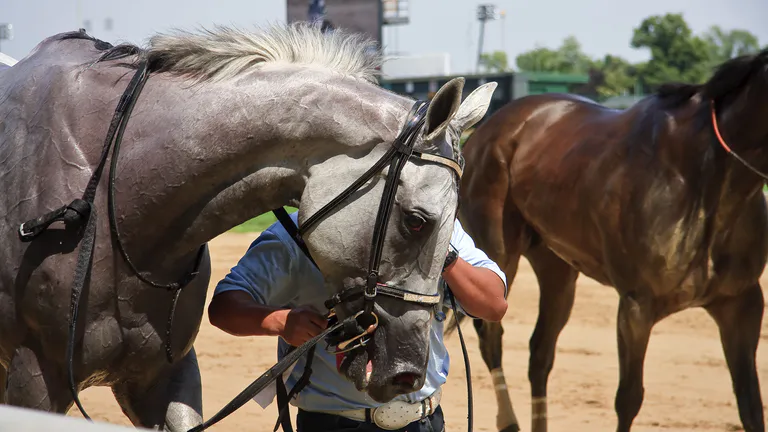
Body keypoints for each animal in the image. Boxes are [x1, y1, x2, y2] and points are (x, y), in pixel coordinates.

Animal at [452, 48, 768, 432]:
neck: (705, 178)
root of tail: (491, 126)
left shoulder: (742, 303)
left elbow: (750, 406)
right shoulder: (636, 304)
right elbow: (629, 398)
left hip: (556, 267)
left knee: (540, 352)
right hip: (500, 251)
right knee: (491, 338)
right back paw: (508, 420)